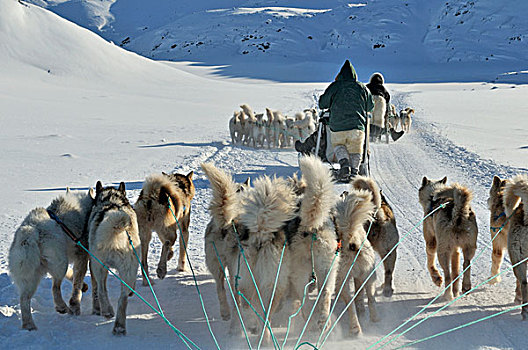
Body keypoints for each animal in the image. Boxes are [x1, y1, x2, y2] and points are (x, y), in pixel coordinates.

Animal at [8, 190, 94, 330]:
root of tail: (31, 229)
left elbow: (72, 276)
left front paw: (84, 286)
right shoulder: (81, 257)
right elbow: (77, 280)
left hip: (32, 276)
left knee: (24, 299)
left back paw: (29, 326)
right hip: (60, 264)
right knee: (55, 288)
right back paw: (64, 308)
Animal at [89, 182, 141, 334]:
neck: (111, 200)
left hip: (99, 267)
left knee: (101, 290)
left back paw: (108, 313)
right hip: (126, 270)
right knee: (122, 298)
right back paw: (119, 326)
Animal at [336, 187, 378, 334]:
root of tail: (352, 239)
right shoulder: (359, 276)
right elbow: (360, 294)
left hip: (341, 280)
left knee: (350, 303)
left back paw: (355, 328)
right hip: (369, 274)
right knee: (370, 298)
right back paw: (374, 319)